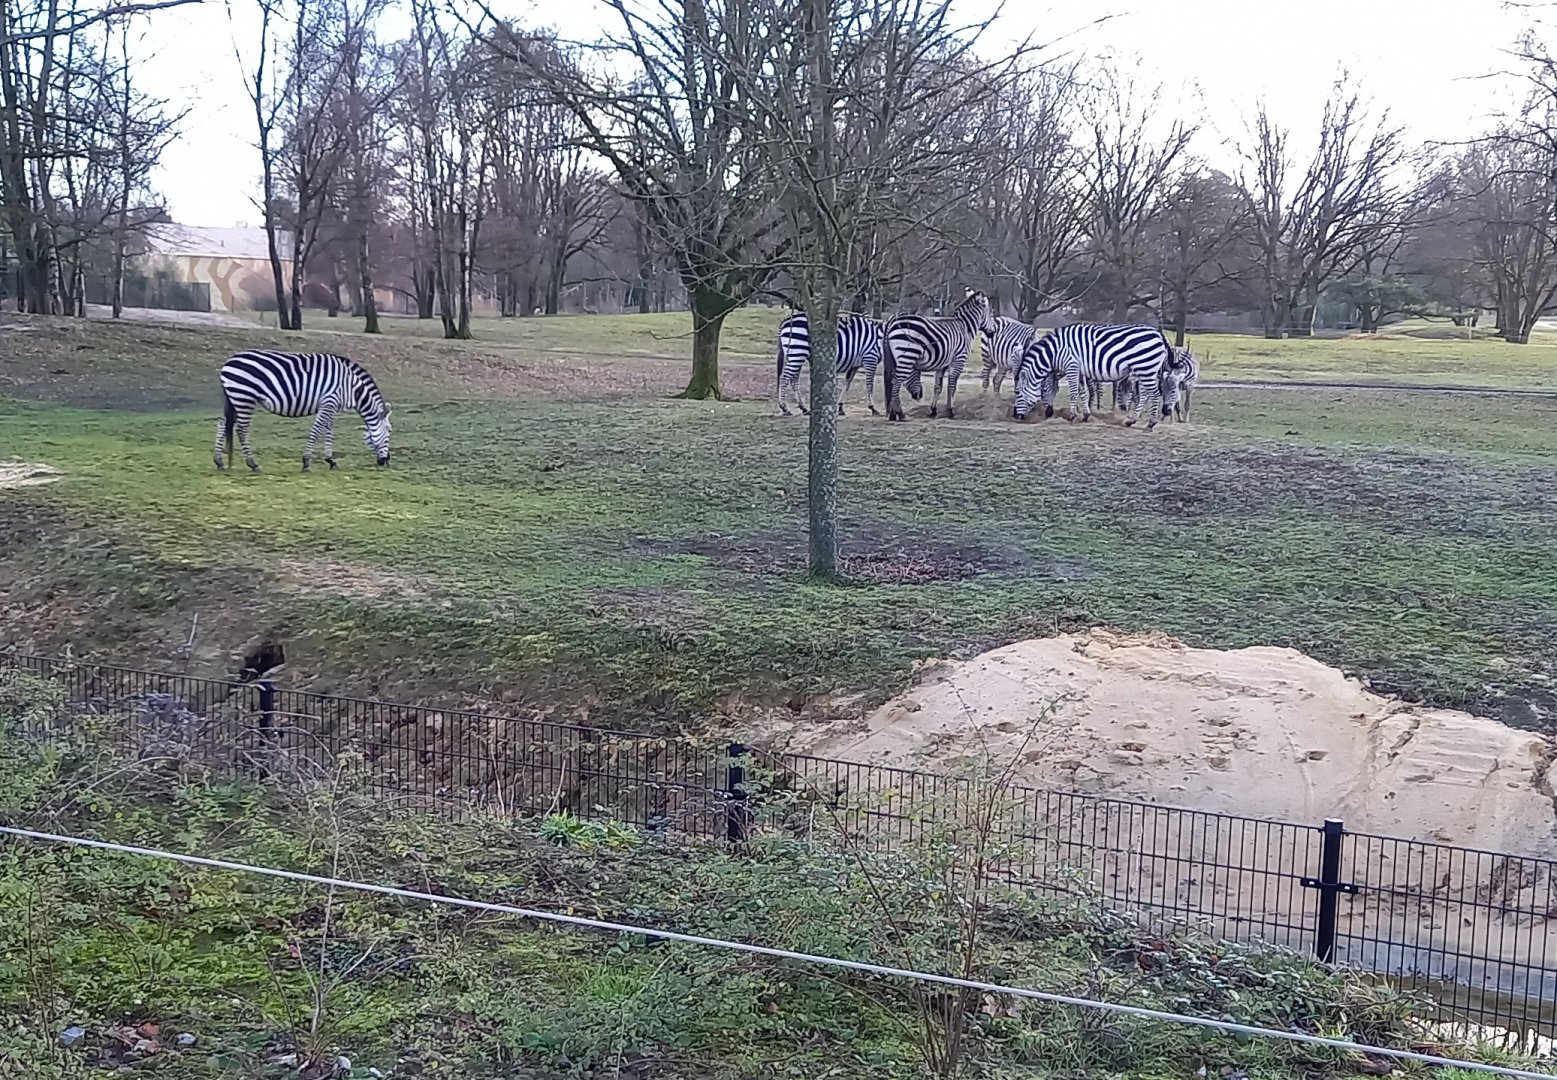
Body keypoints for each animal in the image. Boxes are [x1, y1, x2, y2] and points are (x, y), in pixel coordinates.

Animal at [214, 350, 392, 472]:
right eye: (389, 431)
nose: (386, 461)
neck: (351, 387)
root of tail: (229, 361)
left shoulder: (330, 405)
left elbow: (328, 432)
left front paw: (331, 460)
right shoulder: (329, 402)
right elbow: (317, 431)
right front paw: (306, 461)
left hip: (235, 398)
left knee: (223, 424)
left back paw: (219, 462)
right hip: (244, 397)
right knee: (241, 429)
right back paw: (253, 464)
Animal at [881, 288, 995, 421]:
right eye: (991, 314)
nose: (992, 333)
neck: (965, 328)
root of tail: (892, 320)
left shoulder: (942, 365)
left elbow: (938, 387)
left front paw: (933, 411)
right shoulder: (958, 360)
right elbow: (952, 386)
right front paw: (950, 411)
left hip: (896, 359)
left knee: (892, 382)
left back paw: (893, 414)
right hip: (907, 356)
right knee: (896, 382)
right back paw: (899, 413)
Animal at [1010, 323, 1185, 429]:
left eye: (1018, 393)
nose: (1015, 416)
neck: (1056, 351)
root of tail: (1159, 334)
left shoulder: (1072, 366)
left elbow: (1073, 393)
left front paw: (1072, 416)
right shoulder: (1079, 370)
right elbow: (1083, 393)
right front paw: (1085, 415)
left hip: (1146, 367)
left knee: (1153, 394)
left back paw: (1150, 423)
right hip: (1146, 368)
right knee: (1145, 394)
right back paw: (1131, 420)